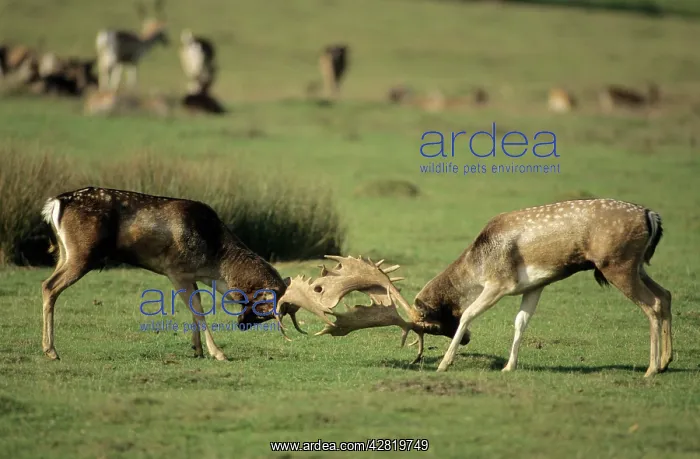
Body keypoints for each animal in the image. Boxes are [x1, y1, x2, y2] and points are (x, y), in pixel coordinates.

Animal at [39, 187, 307, 361]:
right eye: (268, 310)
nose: (242, 324)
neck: (214, 265)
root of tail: (54, 204)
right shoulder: (176, 270)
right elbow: (198, 310)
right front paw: (218, 353)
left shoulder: (190, 275)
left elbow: (194, 308)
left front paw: (197, 349)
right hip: (82, 253)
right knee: (49, 286)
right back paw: (51, 351)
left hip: (64, 253)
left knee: (47, 283)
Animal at [278, 199, 672, 378]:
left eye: (433, 325)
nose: (465, 341)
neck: (477, 261)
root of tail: (651, 216)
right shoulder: (535, 284)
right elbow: (521, 322)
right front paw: (509, 367)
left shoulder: (500, 282)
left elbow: (469, 311)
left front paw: (444, 364)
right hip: (635, 265)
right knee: (666, 295)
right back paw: (667, 361)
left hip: (617, 264)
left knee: (651, 305)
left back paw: (651, 369)